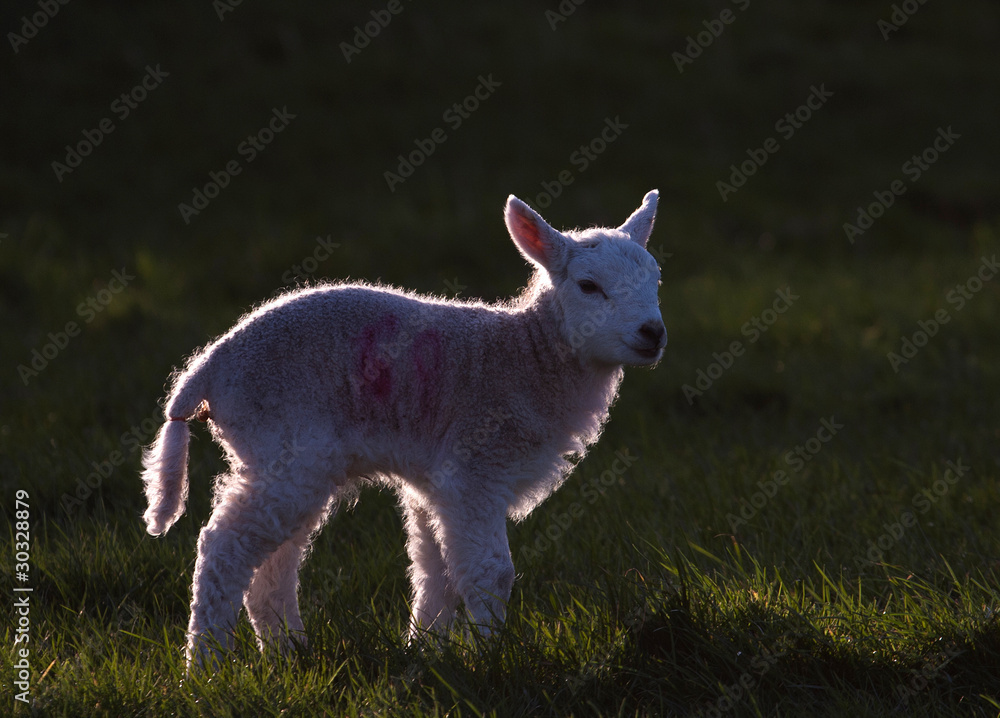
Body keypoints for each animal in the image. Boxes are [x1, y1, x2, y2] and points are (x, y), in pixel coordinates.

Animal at [141, 191, 668, 668]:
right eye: (588, 286)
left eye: (657, 280)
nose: (653, 332)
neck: (527, 356)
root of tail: (208, 368)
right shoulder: (475, 466)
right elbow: (490, 572)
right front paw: (490, 657)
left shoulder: (437, 481)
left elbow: (437, 571)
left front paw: (429, 651)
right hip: (285, 440)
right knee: (224, 548)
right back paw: (206, 668)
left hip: (280, 457)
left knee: (274, 562)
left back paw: (287, 653)